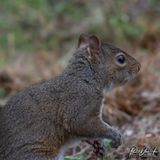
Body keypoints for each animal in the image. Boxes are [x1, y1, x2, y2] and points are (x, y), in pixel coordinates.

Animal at [0, 34, 140, 160]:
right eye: (121, 59)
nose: (138, 67)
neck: (86, 79)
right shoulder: (80, 104)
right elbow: (81, 124)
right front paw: (116, 136)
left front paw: (98, 144)